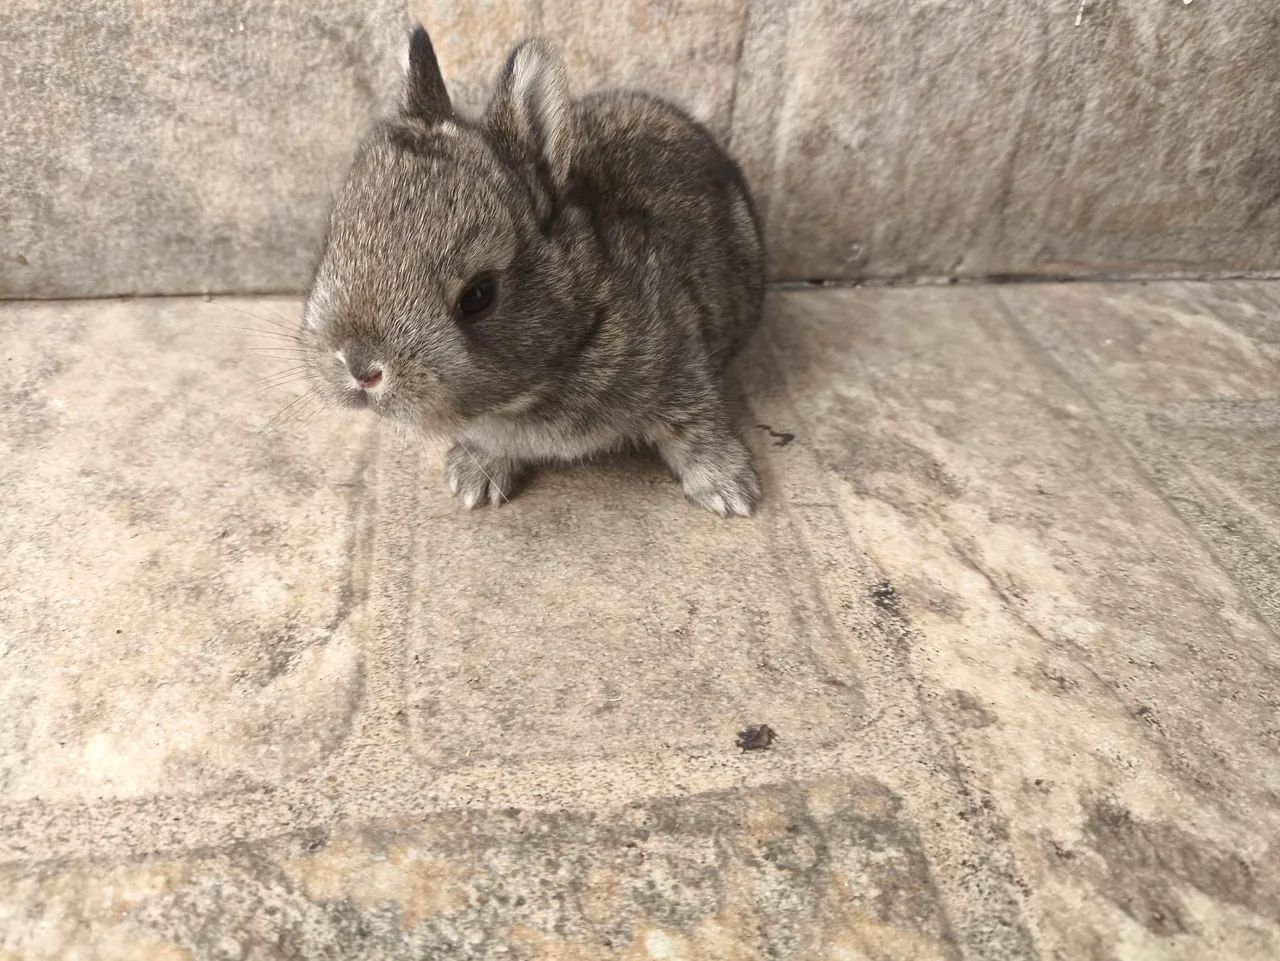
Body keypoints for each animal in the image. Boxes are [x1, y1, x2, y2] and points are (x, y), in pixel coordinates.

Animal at [300, 24, 766, 515]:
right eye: (333, 243)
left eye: (479, 296)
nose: (359, 367)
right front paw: (473, 481)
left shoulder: (680, 362)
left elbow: (696, 424)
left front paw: (732, 493)